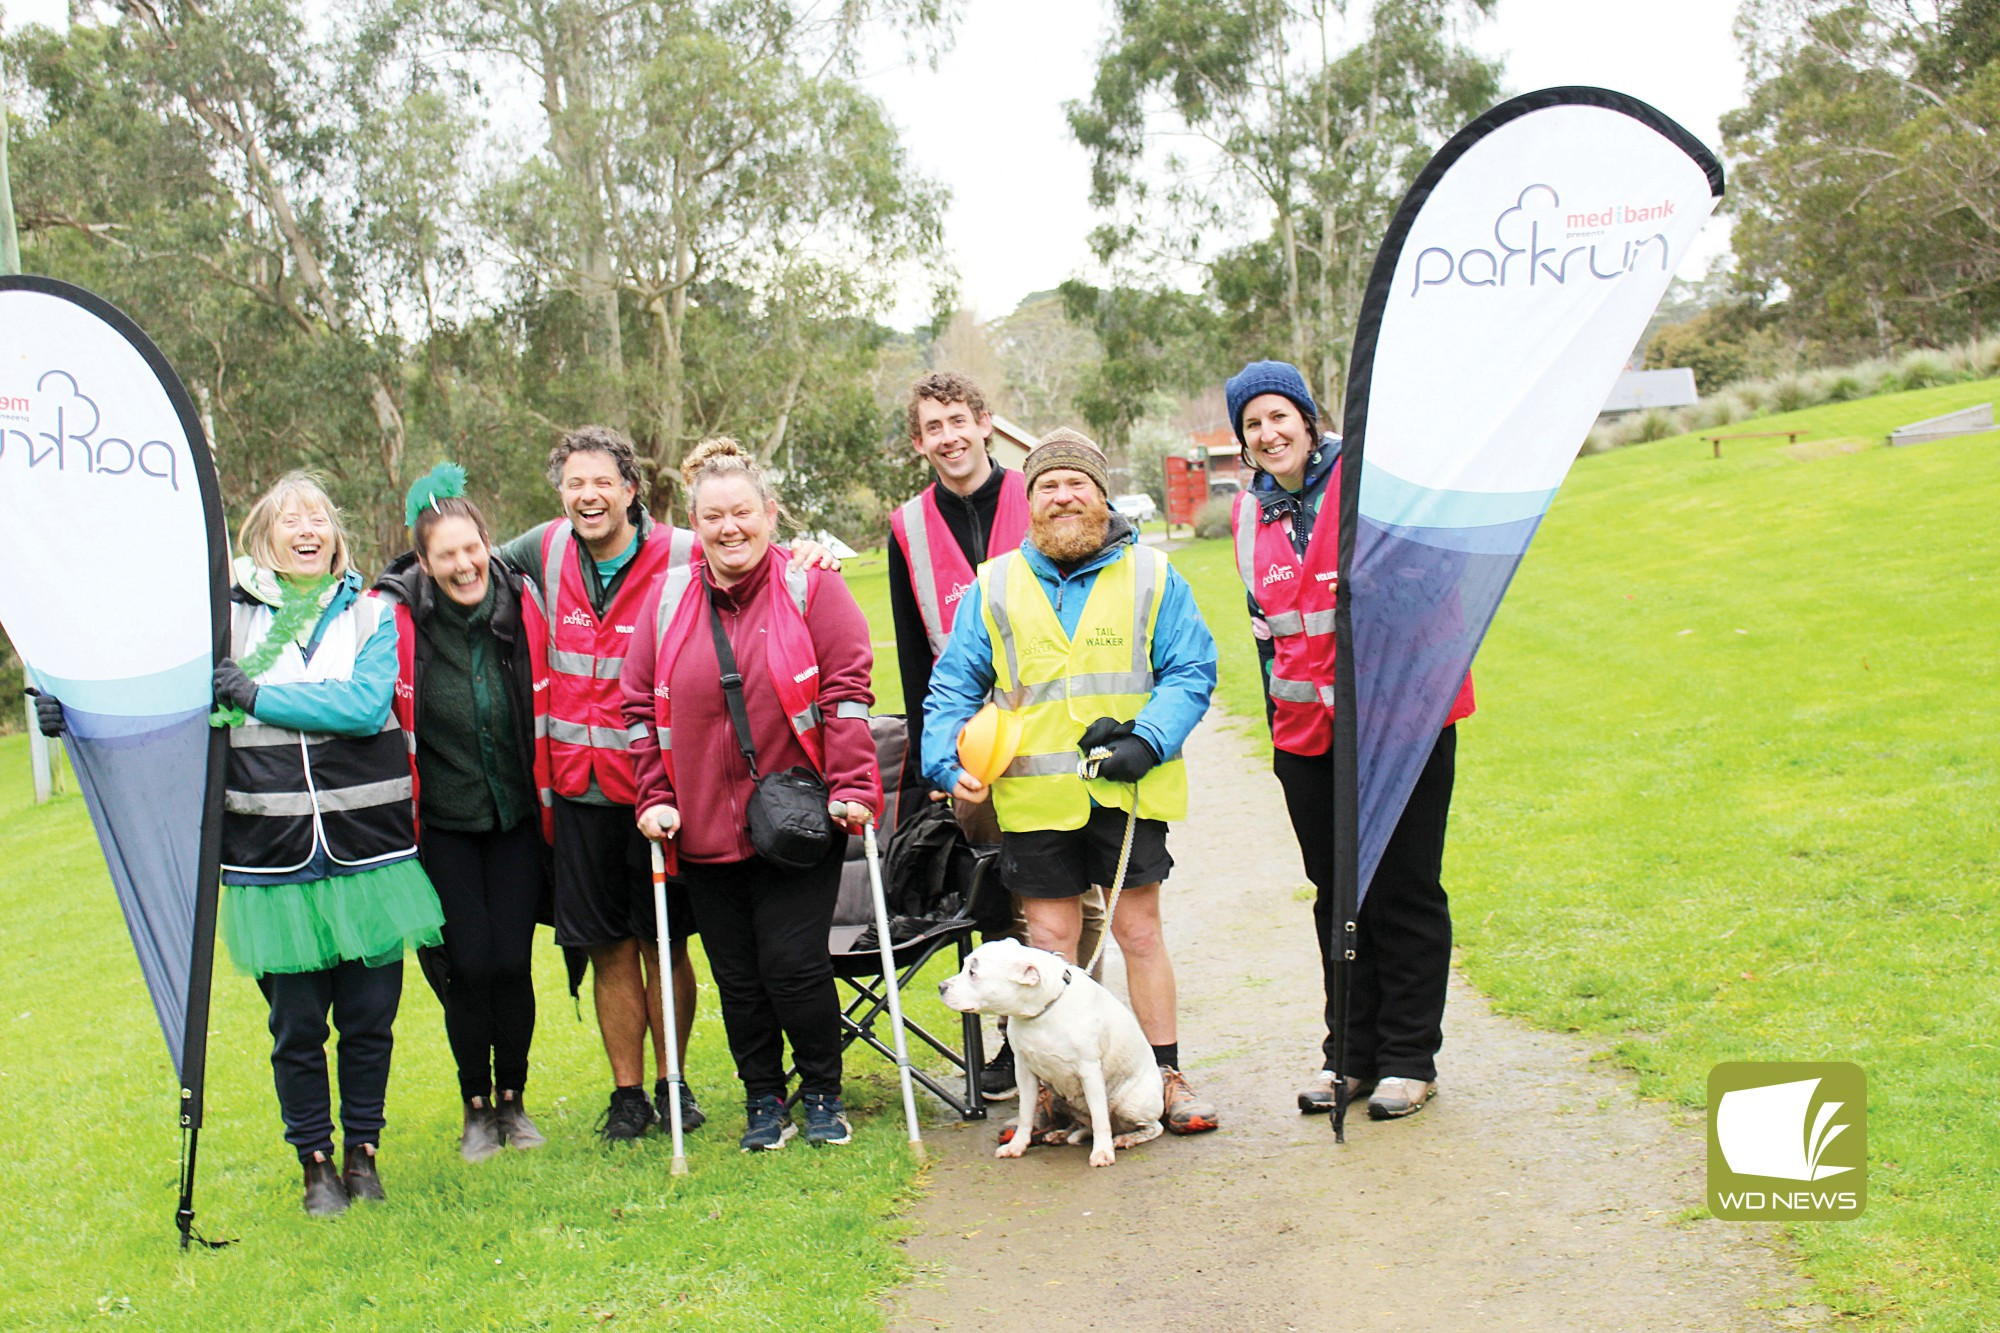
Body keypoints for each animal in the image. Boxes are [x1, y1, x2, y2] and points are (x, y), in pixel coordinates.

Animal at [940, 932, 1168, 1160]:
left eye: (973, 973)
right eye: (964, 966)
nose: (941, 986)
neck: (1043, 1011)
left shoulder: (1090, 1073)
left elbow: (1100, 1118)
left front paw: (1102, 1152)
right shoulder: (1024, 1072)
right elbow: (1025, 1115)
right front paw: (1017, 1145)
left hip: (1132, 1105)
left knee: (1152, 1127)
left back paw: (1128, 1138)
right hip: (1060, 1099)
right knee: (1085, 1123)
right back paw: (1062, 1134)